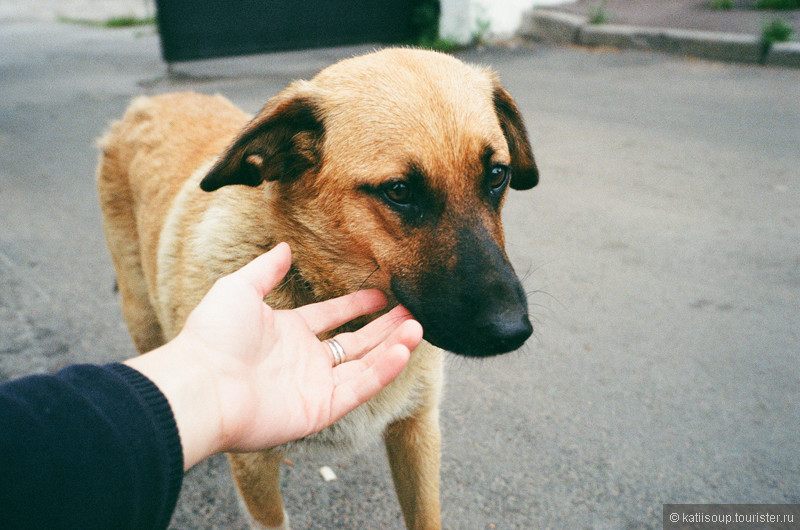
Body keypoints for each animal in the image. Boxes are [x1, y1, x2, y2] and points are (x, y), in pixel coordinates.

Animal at [98, 47, 536, 524]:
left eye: (497, 175)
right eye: (399, 191)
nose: (514, 332)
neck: (315, 280)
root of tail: (149, 102)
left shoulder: (416, 430)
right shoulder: (255, 469)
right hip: (142, 316)